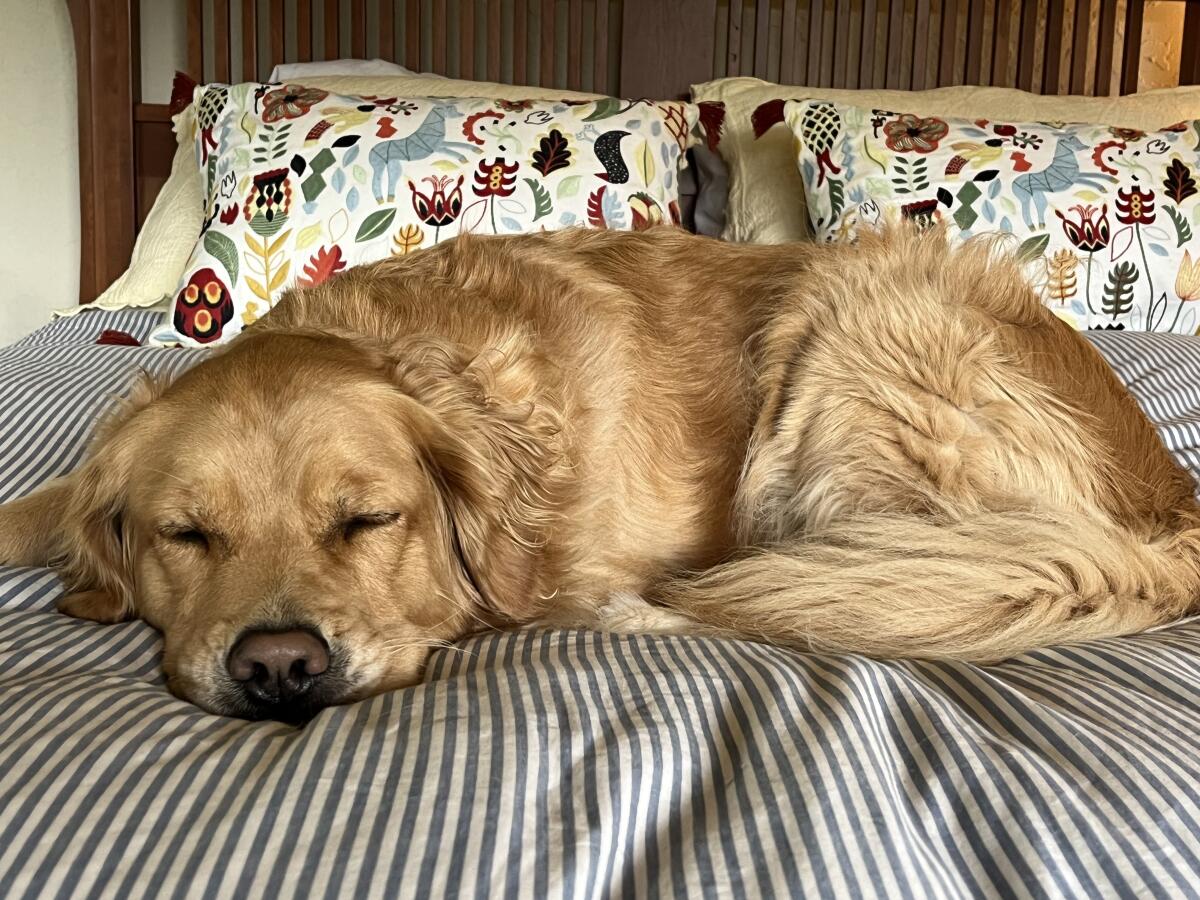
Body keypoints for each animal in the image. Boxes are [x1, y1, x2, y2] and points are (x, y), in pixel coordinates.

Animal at [2, 226, 1200, 724]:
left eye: (366, 521)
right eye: (185, 535)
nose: (280, 667)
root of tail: (1169, 501)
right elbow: (37, 507)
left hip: (854, 329)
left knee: (844, 589)